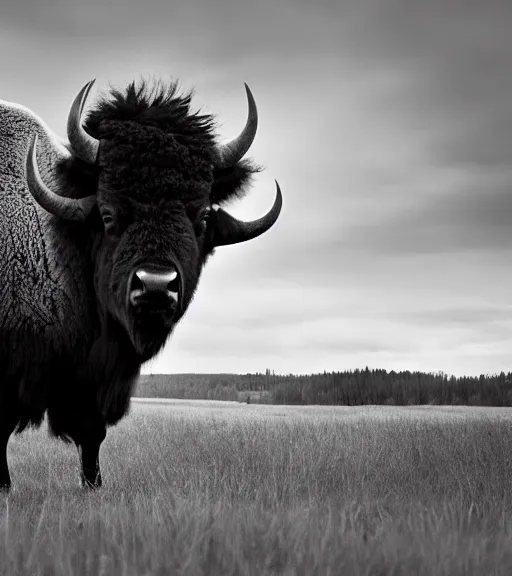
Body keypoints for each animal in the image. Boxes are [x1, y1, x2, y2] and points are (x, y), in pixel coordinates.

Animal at [0, 79, 282, 488]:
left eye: (202, 217)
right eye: (107, 214)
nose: (155, 287)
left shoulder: (93, 385)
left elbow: (92, 436)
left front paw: (94, 485)